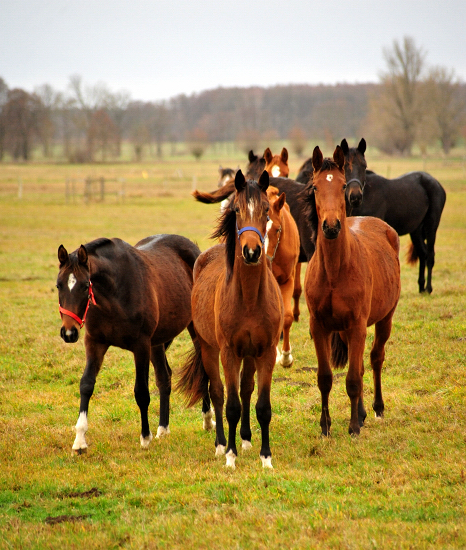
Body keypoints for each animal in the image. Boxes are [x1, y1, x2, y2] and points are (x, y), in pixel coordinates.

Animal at [176, 169, 282, 470]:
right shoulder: (229, 353)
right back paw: (222, 444)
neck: (249, 299)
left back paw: (245, 439)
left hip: (250, 354)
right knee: (218, 393)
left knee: (246, 390)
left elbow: (262, 405)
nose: (251, 252)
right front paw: (230, 456)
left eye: (266, 210)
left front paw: (265, 457)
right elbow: (231, 404)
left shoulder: (266, 352)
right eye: (236, 209)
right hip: (209, 350)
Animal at [302, 147, 400, 440]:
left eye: (342, 185)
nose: (331, 226)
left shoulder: (358, 326)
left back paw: (376, 409)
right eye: (315, 187)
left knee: (375, 359)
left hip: (384, 319)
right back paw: (363, 412)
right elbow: (325, 378)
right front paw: (325, 426)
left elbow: (354, 379)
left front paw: (353, 427)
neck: (335, 271)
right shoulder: (320, 327)